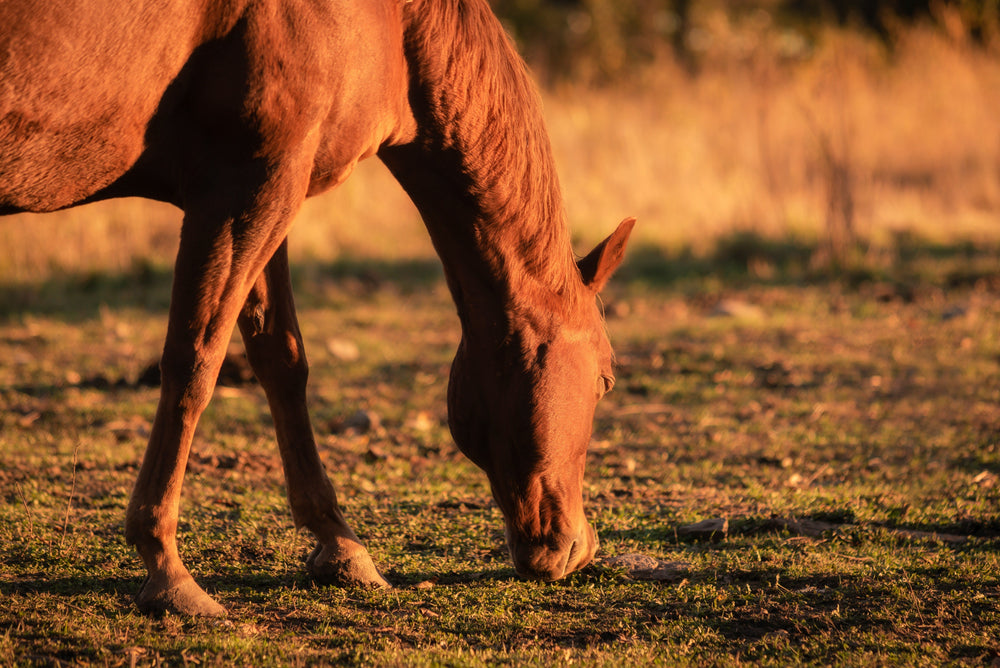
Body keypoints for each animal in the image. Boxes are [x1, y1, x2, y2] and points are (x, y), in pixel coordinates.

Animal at [0, 0, 634, 616]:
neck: (394, 23)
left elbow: (281, 361)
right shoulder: (250, 187)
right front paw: (166, 568)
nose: (577, 548)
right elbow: (195, 362)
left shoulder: (270, 190)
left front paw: (341, 547)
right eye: (606, 379)